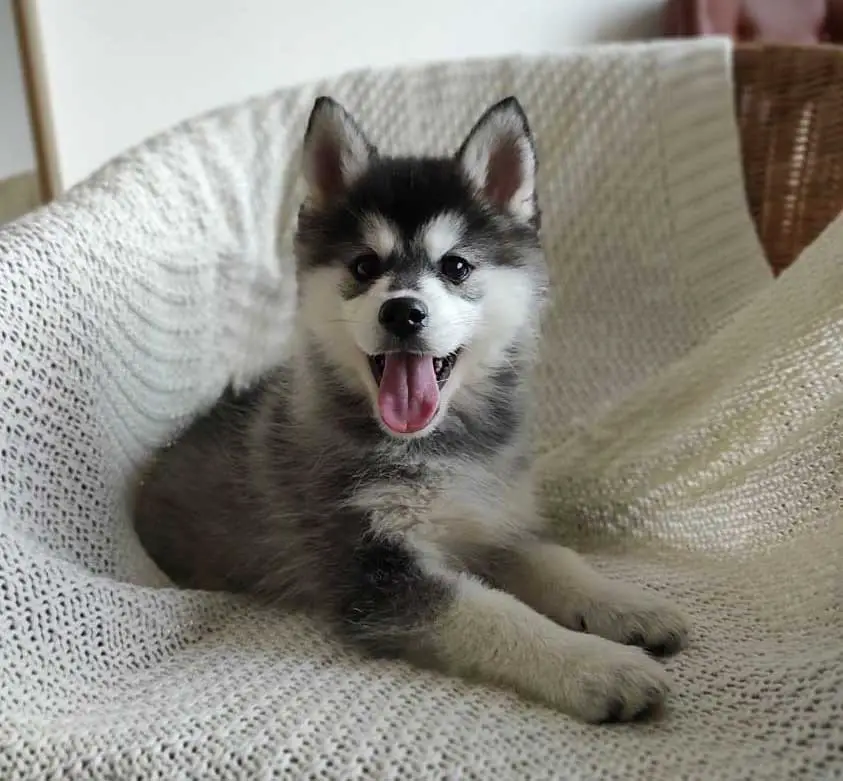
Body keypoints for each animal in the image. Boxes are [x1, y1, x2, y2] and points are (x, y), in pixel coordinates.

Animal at [135, 94, 692, 724]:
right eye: (363, 267)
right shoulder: (375, 572)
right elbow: (496, 613)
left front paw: (625, 605)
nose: (402, 312)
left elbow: (557, 560)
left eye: (455, 266)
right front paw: (597, 664)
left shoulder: (492, 520)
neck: (436, 449)